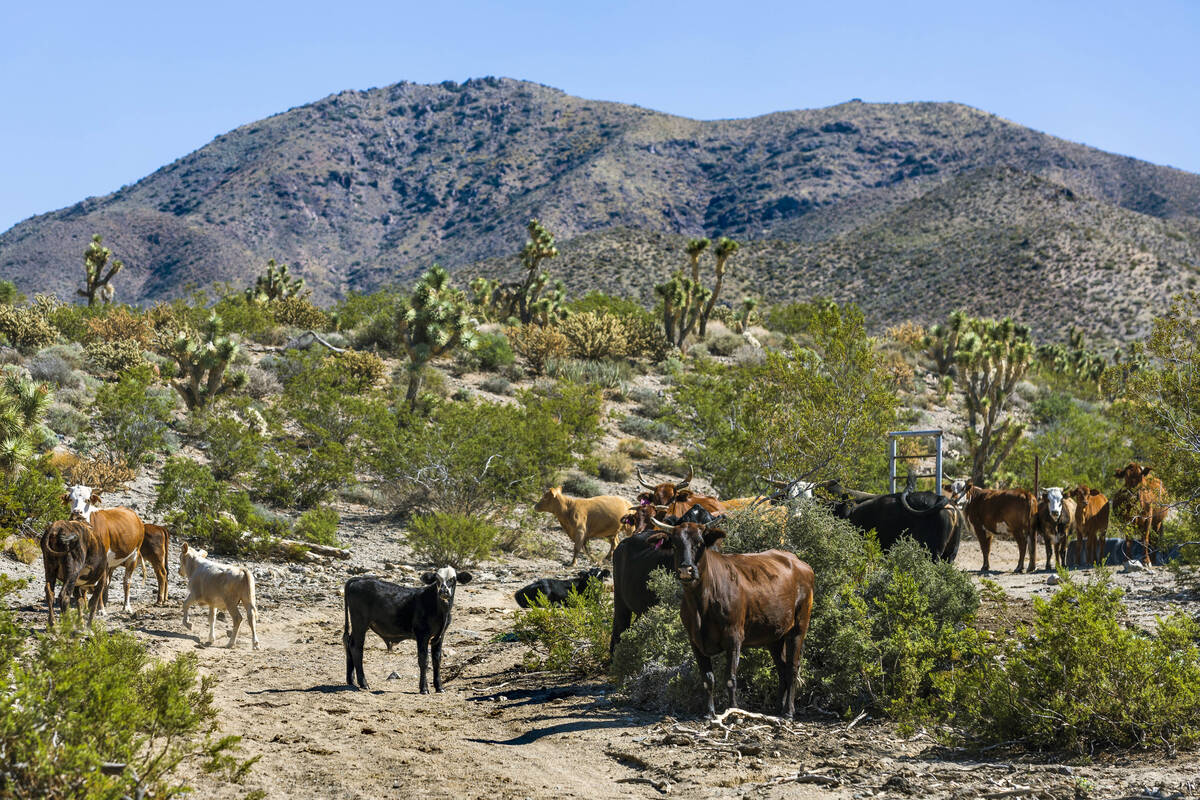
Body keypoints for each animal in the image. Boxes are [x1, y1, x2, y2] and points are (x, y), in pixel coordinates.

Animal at [648, 515, 816, 724]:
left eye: (700, 543)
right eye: (675, 544)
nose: (686, 570)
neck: (701, 604)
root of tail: (799, 562)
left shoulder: (734, 637)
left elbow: (730, 678)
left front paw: (734, 712)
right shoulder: (695, 641)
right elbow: (707, 678)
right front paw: (709, 713)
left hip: (799, 626)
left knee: (792, 668)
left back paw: (789, 711)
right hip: (775, 636)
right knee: (782, 668)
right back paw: (778, 707)